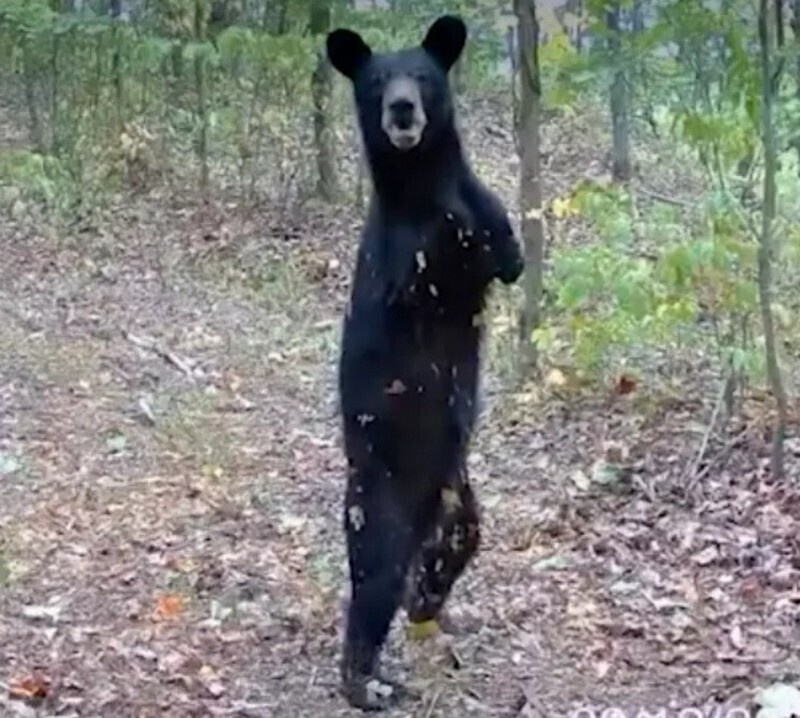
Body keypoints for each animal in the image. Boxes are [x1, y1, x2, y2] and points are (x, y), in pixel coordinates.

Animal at [326, 15, 524, 716]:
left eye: (424, 76)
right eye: (378, 81)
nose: (403, 109)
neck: (421, 182)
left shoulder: (486, 215)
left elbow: (505, 248)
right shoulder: (401, 257)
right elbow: (427, 267)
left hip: (459, 500)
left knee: (451, 550)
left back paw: (427, 605)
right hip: (379, 502)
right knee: (374, 584)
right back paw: (367, 681)